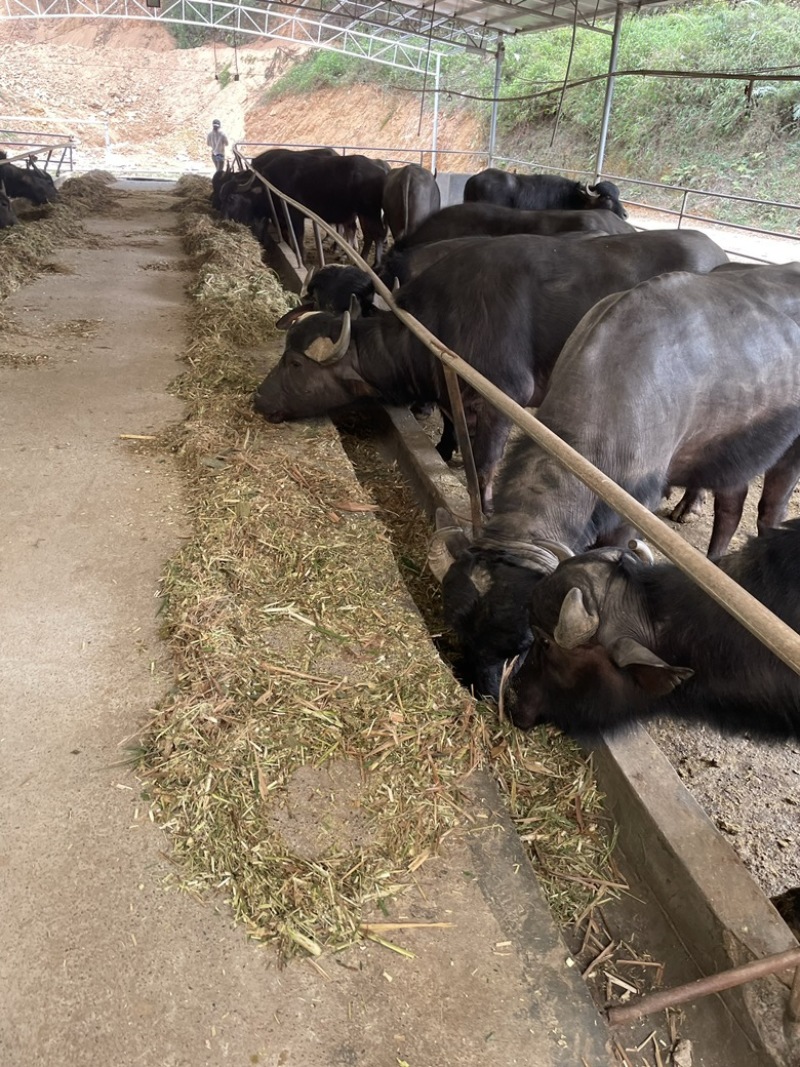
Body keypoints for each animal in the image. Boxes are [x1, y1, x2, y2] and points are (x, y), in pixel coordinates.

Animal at [254, 228, 725, 507]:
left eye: (294, 362)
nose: (258, 398)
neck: (441, 322)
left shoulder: (505, 401)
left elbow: (484, 466)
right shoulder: (452, 392)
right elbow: (452, 428)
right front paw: (445, 452)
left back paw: (686, 505)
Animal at [433, 262, 800, 699]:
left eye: (522, 644)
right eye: (460, 629)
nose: (486, 693)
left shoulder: (631, 511)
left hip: (791, 449)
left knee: (769, 509)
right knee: (730, 506)